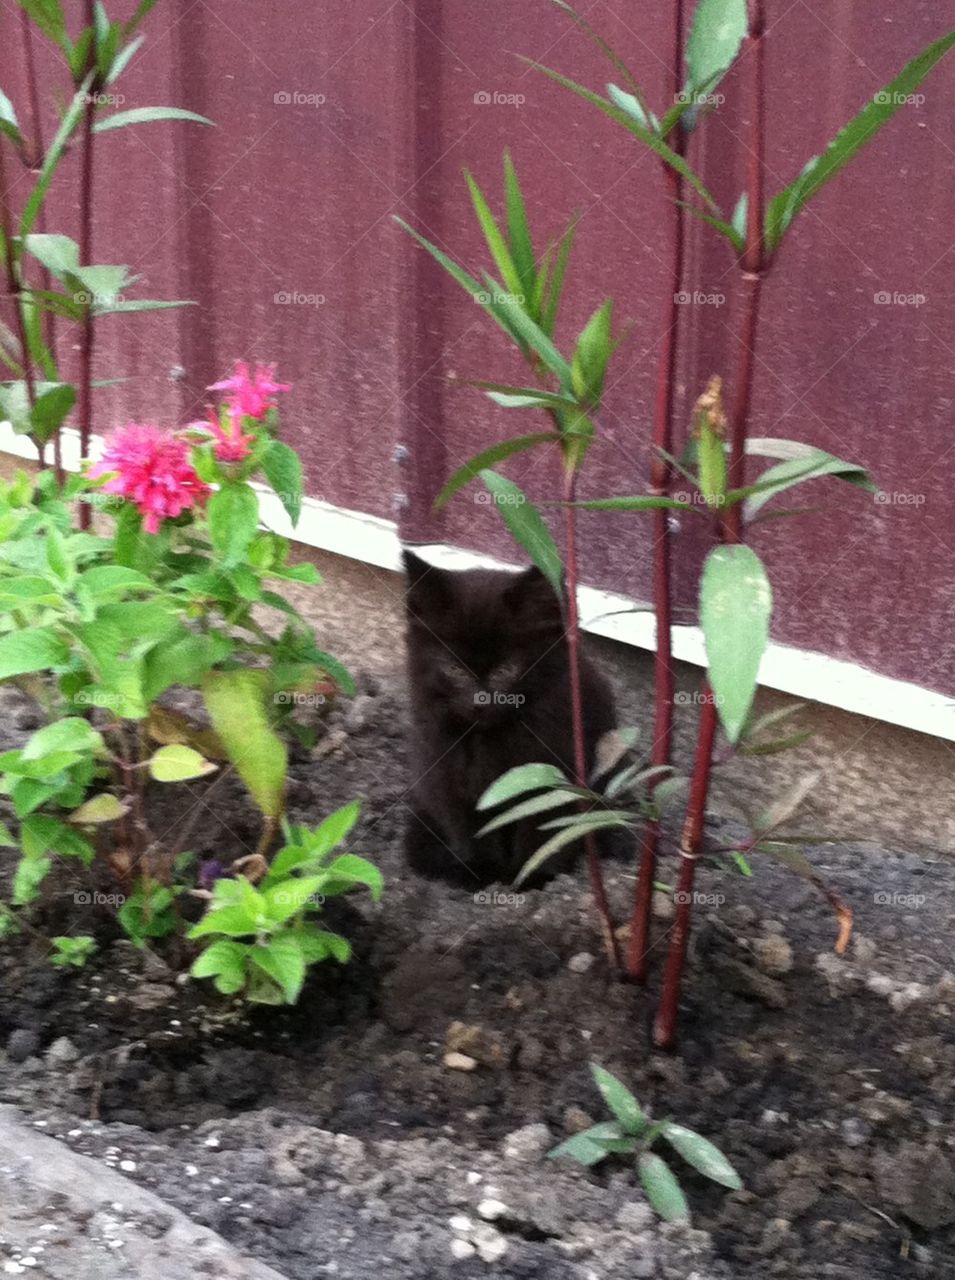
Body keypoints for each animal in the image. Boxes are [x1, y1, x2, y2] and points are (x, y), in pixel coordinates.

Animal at [399, 545, 609, 885]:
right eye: (454, 669)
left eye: (506, 670)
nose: (480, 702)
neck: (491, 738)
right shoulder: (449, 775)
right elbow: (473, 827)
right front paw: (481, 871)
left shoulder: (554, 769)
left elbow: (543, 827)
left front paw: (531, 876)